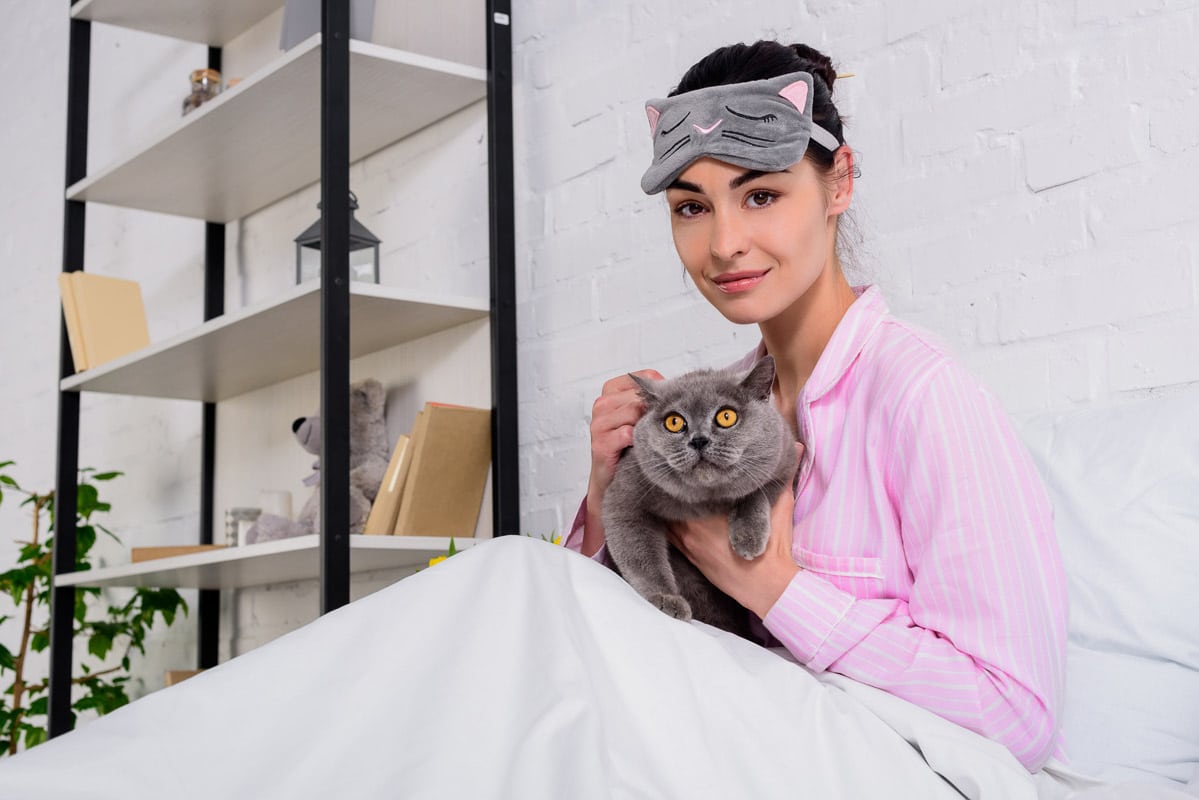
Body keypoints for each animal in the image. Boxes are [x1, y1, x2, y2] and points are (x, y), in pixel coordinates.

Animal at [604, 357, 800, 638]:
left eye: (726, 416)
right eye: (674, 422)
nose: (698, 440)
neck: (705, 500)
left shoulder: (784, 464)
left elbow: (755, 493)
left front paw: (748, 538)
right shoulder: (626, 496)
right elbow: (641, 554)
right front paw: (667, 599)